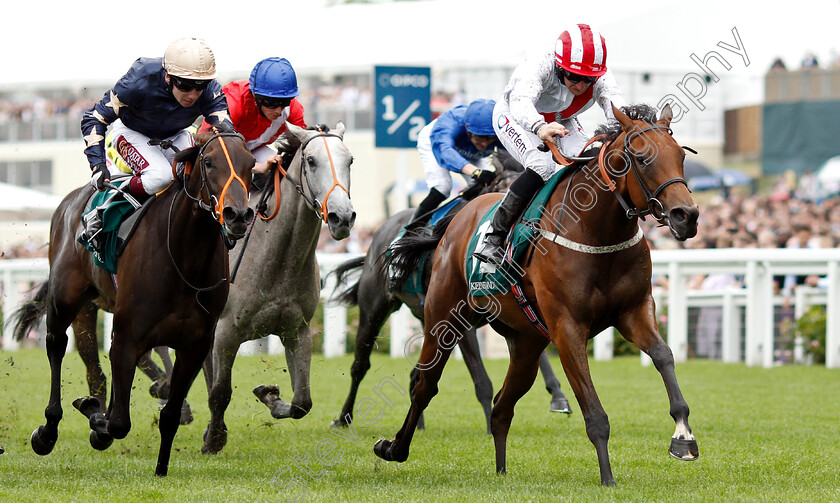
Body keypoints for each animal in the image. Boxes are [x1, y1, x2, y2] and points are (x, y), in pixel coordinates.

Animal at [11, 131, 254, 476]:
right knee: (57, 345)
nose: (238, 215)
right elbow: (118, 424)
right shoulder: (129, 335)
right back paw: (48, 431)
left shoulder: (195, 344)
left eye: (251, 163)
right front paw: (94, 418)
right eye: (208, 162)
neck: (184, 257)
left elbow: (168, 415)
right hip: (67, 300)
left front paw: (161, 468)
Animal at [202, 123, 356, 456]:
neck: (279, 259)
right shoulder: (226, 331)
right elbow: (221, 391)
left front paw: (269, 395)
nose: (342, 217)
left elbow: (302, 402)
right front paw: (214, 439)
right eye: (311, 161)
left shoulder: (297, 330)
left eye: (350, 160)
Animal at [328, 152, 572, 436]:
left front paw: (559, 398)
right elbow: (481, 379)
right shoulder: (461, 324)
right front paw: (491, 427)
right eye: (506, 188)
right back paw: (344, 417)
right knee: (360, 365)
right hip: (374, 310)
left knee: (416, 374)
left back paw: (417, 425)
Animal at [374, 103, 704, 488]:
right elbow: (594, 413)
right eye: (641, 158)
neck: (597, 231)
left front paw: (683, 438)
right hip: (443, 318)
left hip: (527, 343)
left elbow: (664, 355)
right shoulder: (567, 327)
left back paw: (501, 471)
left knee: (502, 405)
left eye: (681, 156)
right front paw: (607, 478)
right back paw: (394, 448)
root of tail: (456, 220)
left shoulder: (634, 311)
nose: (687, 216)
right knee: (425, 384)